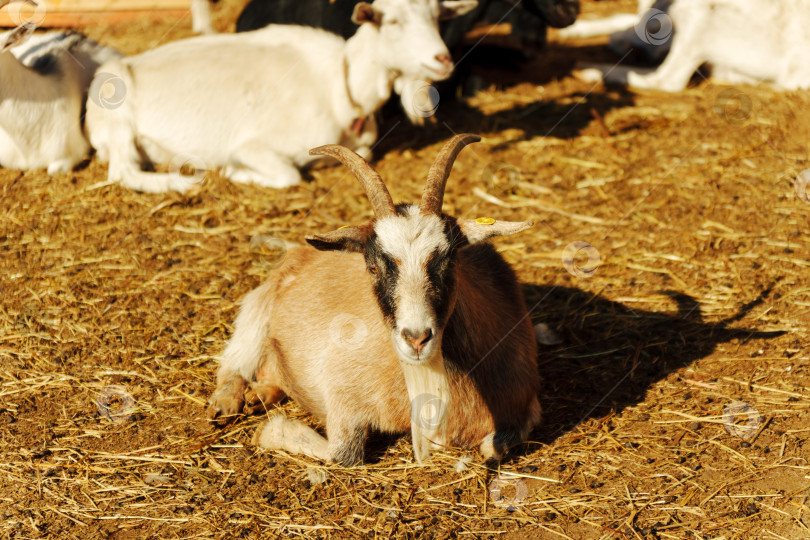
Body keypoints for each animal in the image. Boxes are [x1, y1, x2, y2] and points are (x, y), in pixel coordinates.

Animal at [85, 0, 478, 193]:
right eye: (392, 21)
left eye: (438, 16)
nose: (442, 59)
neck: (344, 83)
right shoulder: (253, 146)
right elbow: (288, 175)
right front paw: (235, 172)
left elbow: (360, 154)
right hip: (114, 107)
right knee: (123, 172)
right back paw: (180, 181)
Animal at [207, 134, 541, 465]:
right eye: (373, 267)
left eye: (449, 260)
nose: (416, 339)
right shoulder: (341, 390)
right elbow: (343, 454)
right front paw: (269, 431)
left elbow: (492, 449)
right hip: (258, 308)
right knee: (235, 362)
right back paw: (226, 403)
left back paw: (260, 395)